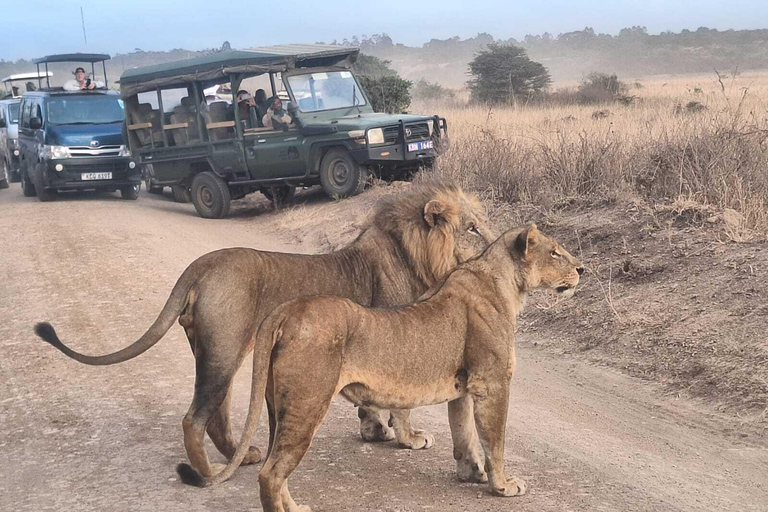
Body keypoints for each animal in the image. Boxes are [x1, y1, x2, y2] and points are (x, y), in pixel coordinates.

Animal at [34, 183, 492, 480]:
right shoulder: (398, 340)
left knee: (216, 415)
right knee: (194, 419)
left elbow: (372, 404)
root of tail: (200, 266)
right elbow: (402, 405)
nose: (495, 247)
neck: (414, 254)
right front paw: (408, 439)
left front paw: (373, 431)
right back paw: (209, 473)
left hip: (217, 350)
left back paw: (245, 456)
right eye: (472, 229)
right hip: (224, 350)